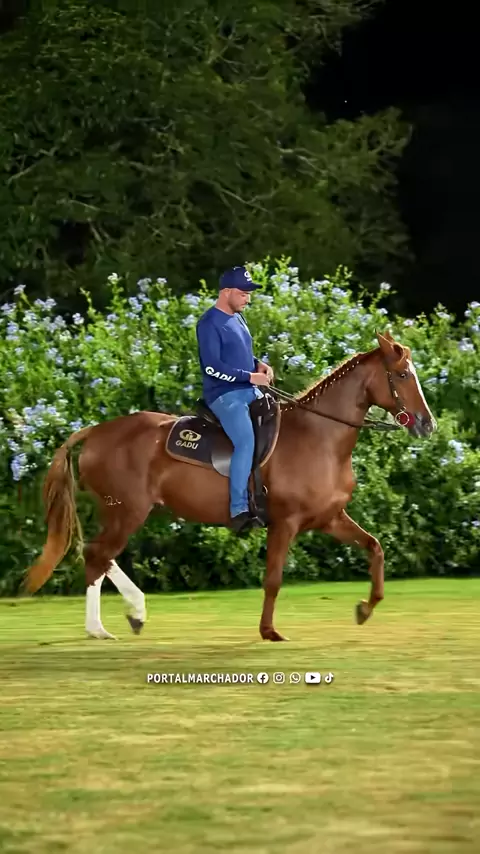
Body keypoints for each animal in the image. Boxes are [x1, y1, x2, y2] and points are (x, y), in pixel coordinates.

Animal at [23, 330, 436, 642]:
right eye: (402, 375)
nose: (426, 423)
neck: (320, 437)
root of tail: (95, 432)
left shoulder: (329, 518)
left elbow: (375, 548)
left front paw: (365, 608)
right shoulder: (285, 524)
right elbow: (273, 579)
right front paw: (269, 631)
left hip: (122, 511)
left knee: (97, 555)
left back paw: (130, 615)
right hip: (127, 511)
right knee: (96, 555)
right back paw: (102, 626)